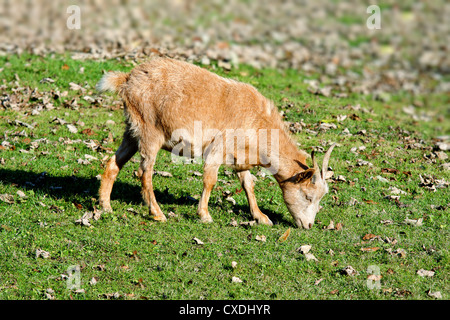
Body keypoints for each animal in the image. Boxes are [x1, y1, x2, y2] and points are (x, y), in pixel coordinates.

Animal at [96, 57, 334, 228]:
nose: (308, 225)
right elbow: (210, 180)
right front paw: (204, 215)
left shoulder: (240, 155)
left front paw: (260, 217)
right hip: (150, 130)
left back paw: (106, 206)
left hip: (132, 131)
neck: (258, 122)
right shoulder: (218, 148)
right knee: (144, 172)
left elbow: (248, 184)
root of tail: (127, 79)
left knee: (113, 164)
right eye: (308, 196)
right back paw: (157, 213)